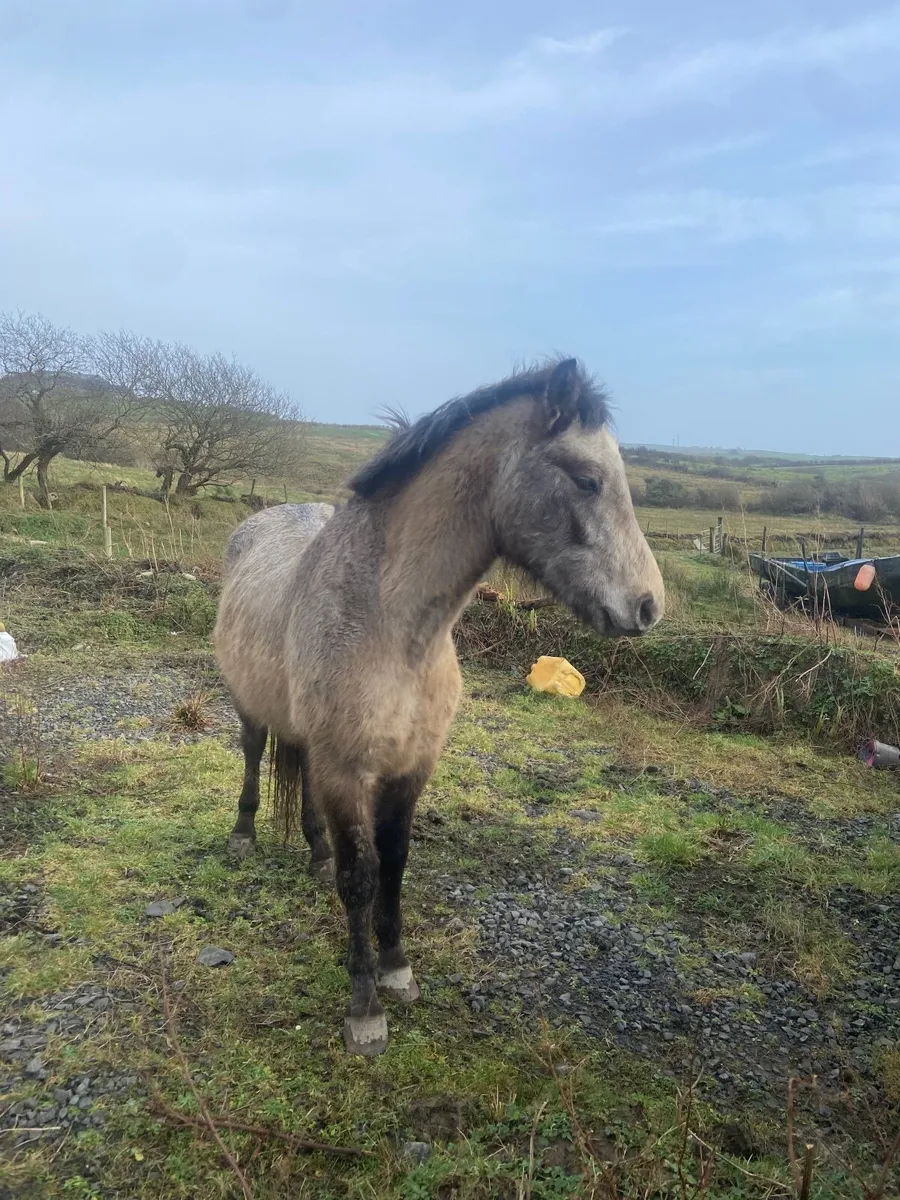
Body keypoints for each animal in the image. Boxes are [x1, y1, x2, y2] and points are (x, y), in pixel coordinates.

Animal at [213, 357, 664, 1055]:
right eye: (589, 480)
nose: (648, 606)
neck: (394, 629)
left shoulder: (409, 768)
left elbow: (394, 864)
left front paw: (397, 970)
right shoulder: (348, 770)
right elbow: (360, 878)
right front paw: (365, 1009)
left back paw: (315, 852)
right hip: (252, 710)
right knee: (255, 755)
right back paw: (242, 835)